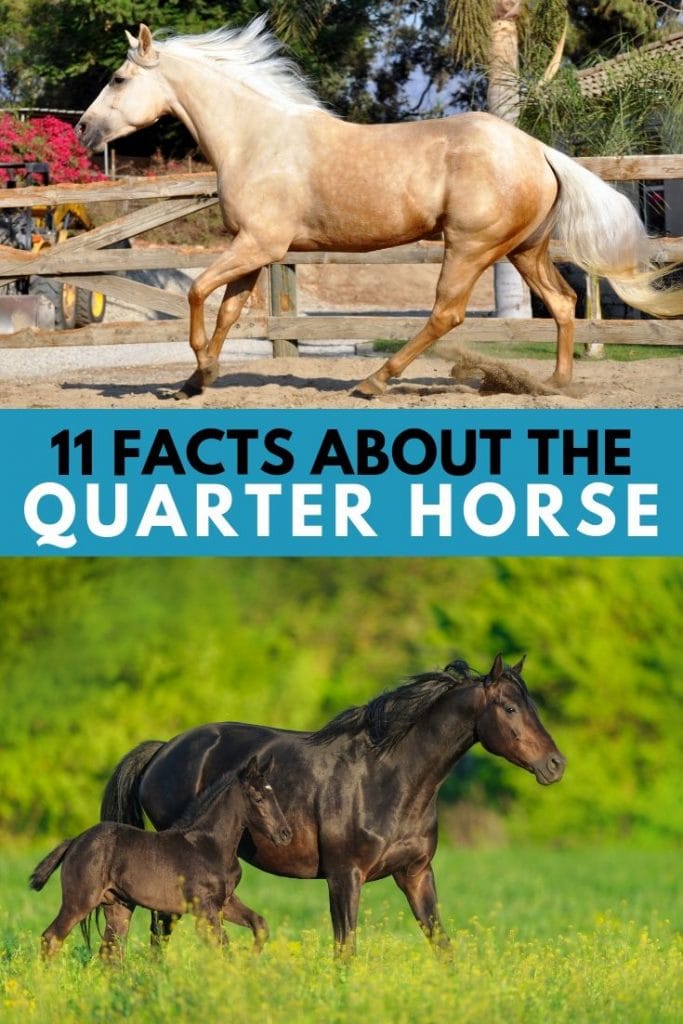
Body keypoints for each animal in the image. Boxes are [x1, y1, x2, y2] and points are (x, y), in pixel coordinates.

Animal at [30, 756, 292, 959]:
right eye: (258, 798)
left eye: (274, 796)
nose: (285, 834)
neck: (210, 845)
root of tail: (74, 841)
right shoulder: (204, 907)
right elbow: (222, 946)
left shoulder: (225, 901)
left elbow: (259, 925)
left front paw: (251, 960)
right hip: (80, 901)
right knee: (51, 938)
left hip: (118, 906)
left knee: (110, 952)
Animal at [74, 18, 682, 402]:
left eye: (120, 78)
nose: (83, 129)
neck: (255, 139)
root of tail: (538, 150)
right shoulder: (255, 250)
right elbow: (227, 311)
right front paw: (196, 381)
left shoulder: (258, 245)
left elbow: (199, 292)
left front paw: (199, 367)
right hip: (523, 250)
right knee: (561, 302)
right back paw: (554, 384)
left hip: (471, 247)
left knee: (446, 313)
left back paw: (372, 381)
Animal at [100, 655, 565, 955]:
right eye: (509, 707)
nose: (555, 765)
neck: (389, 778)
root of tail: (163, 751)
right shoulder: (345, 877)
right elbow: (345, 949)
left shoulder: (415, 873)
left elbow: (441, 943)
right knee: (159, 931)